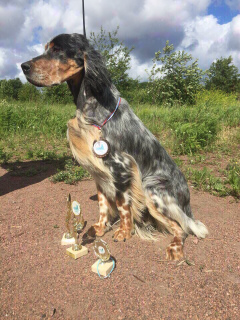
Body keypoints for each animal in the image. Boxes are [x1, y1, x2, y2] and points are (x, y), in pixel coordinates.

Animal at [21, 33, 207, 262]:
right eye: (46, 48)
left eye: (57, 50)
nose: (23, 66)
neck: (93, 104)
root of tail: (187, 202)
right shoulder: (99, 172)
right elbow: (103, 204)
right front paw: (101, 227)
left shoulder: (121, 167)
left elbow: (122, 204)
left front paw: (124, 231)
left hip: (153, 189)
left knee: (182, 227)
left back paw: (175, 247)